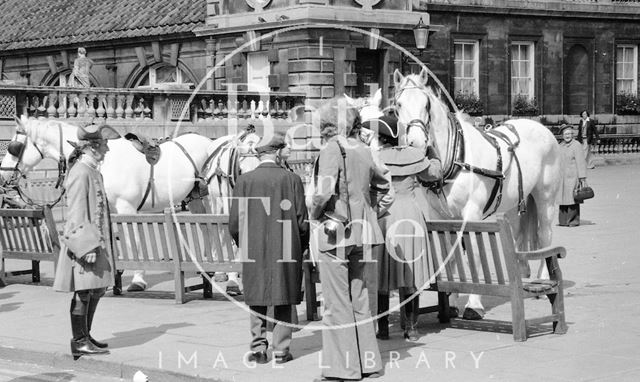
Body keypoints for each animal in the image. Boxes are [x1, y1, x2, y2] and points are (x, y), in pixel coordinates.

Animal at [392, 68, 564, 320]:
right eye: (398, 104)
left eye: (426, 105)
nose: (416, 143)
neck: (454, 158)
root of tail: (543, 129)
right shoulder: (440, 216)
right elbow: (450, 256)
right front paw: (452, 302)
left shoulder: (471, 214)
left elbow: (473, 255)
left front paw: (473, 305)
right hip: (516, 203)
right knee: (521, 233)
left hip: (546, 199)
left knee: (545, 236)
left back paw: (542, 280)